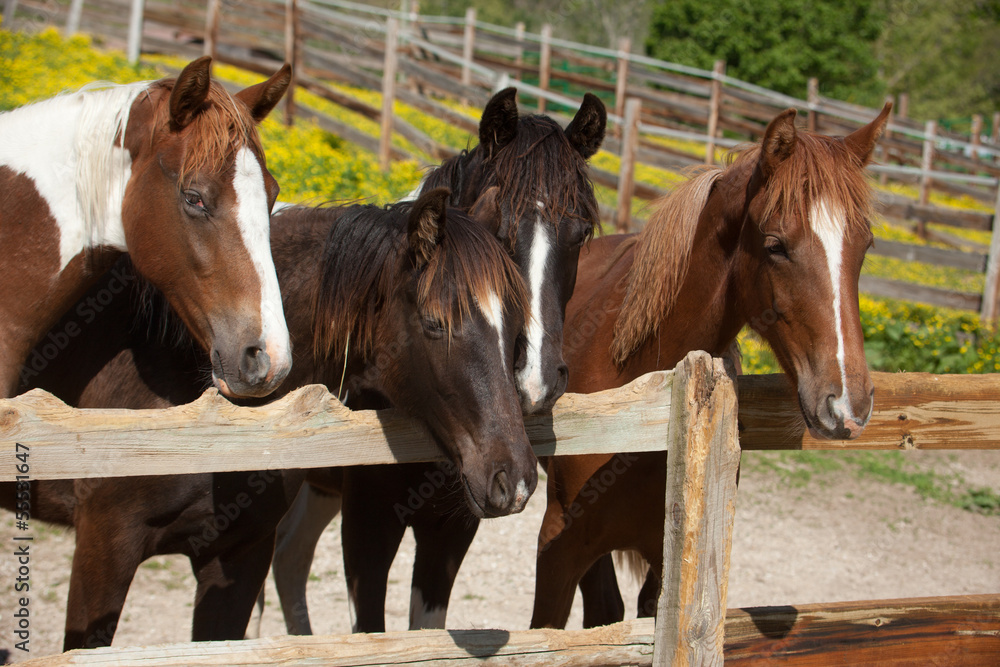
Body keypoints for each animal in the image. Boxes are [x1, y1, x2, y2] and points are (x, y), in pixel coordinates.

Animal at [268, 88, 607, 634]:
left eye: (579, 234)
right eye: (501, 233)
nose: (534, 379)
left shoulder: (451, 528)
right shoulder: (368, 524)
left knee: (290, 555)